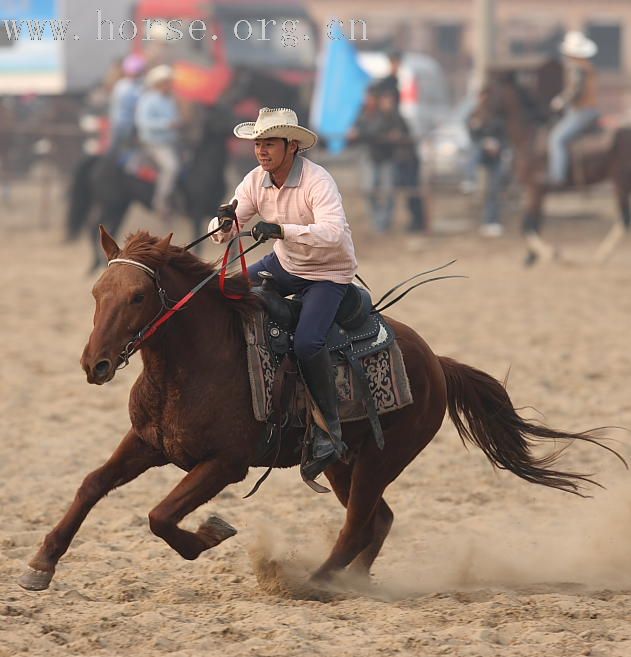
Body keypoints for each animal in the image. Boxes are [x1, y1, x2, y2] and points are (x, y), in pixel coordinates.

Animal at [66, 102, 235, 270]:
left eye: (229, 110)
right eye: (220, 114)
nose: (235, 124)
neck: (202, 167)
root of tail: (100, 158)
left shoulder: (214, 210)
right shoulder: (197, 213)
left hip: (120, 207)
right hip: (110, 205)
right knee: (92, 227)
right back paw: (98, 263)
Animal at [474, 70, 631, 266]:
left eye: (486, 94)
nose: (474, 124)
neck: (529, 138)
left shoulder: (535, 188)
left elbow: (527, 225)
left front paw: (551, 253)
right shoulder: (537, 192)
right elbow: (533, 223)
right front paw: (531, 257)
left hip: (620, 183)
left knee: (624, 219)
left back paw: (601, 254)